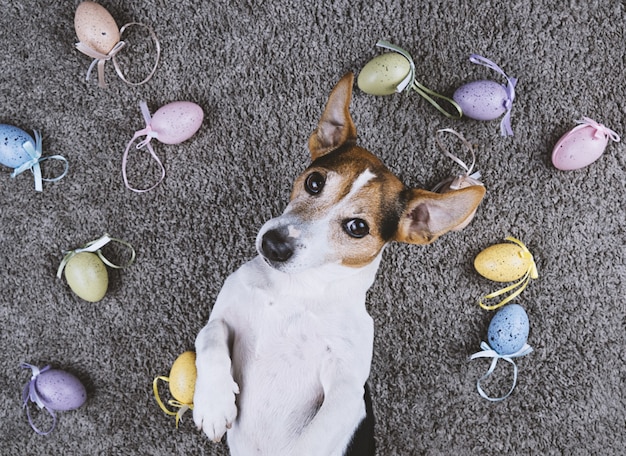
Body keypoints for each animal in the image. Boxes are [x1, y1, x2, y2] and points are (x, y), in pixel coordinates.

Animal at [193, 73, 486, 454]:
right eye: (314, 181)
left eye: (358, 227)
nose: (274, 244)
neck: (298, 290)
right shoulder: (225, 314)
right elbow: (209, 334)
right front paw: (213, 404)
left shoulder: (347, 393)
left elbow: (315, 437)